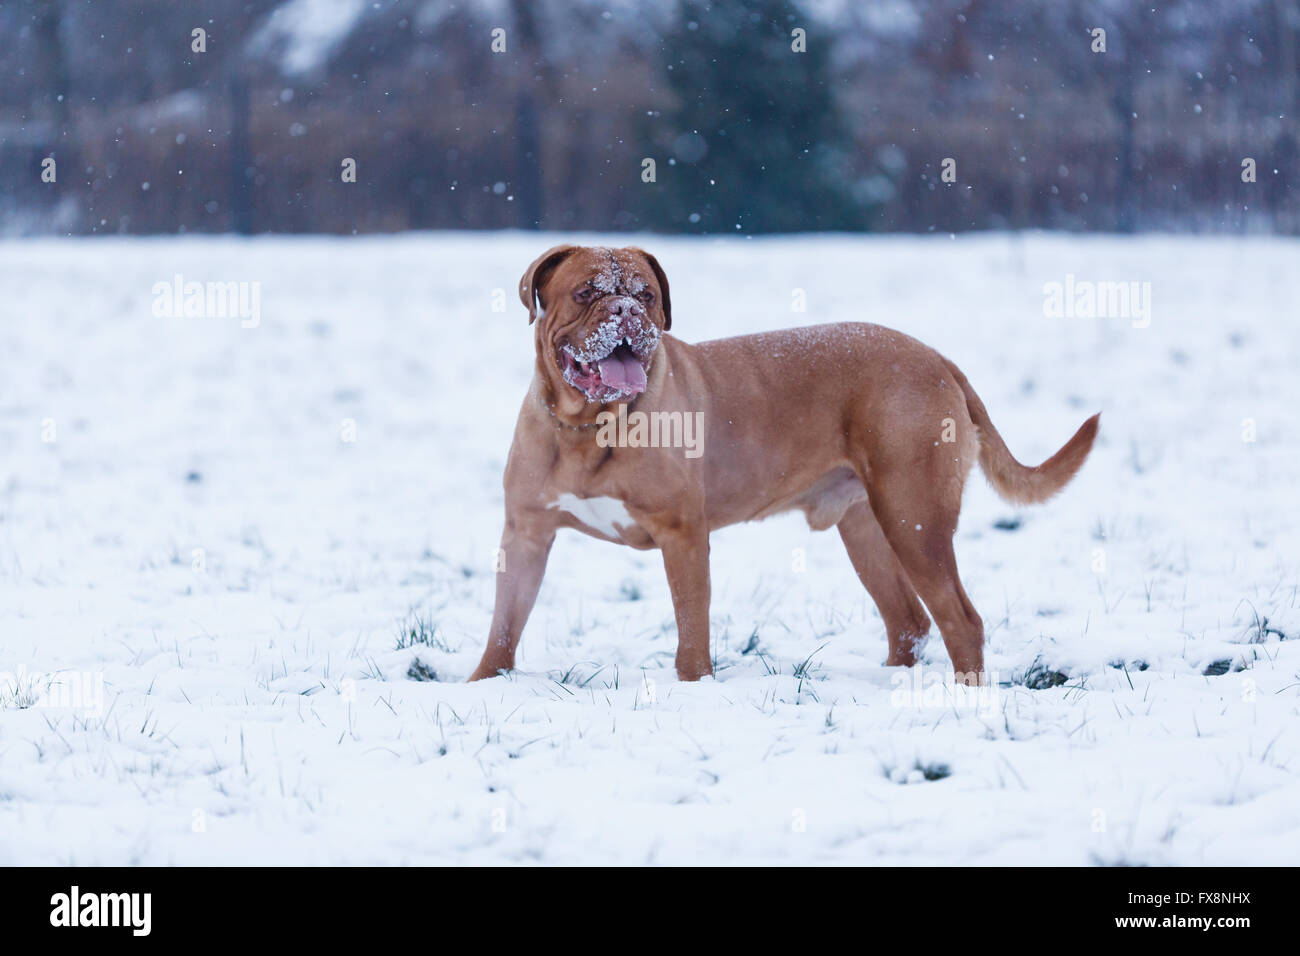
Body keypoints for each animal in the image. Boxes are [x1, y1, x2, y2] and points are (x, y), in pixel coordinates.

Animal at [467, 243, 1097, 686]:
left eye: (645, 295)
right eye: (585, 293)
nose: (625, 311)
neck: (587, 426)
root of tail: (938, 358)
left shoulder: (682, 535)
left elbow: (691, 627)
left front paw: (694, 688)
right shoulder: (525, 534)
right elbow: (504, 623)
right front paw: (482, 684)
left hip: (915, 520)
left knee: (960, 620)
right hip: (868, 527)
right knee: (909, 622)